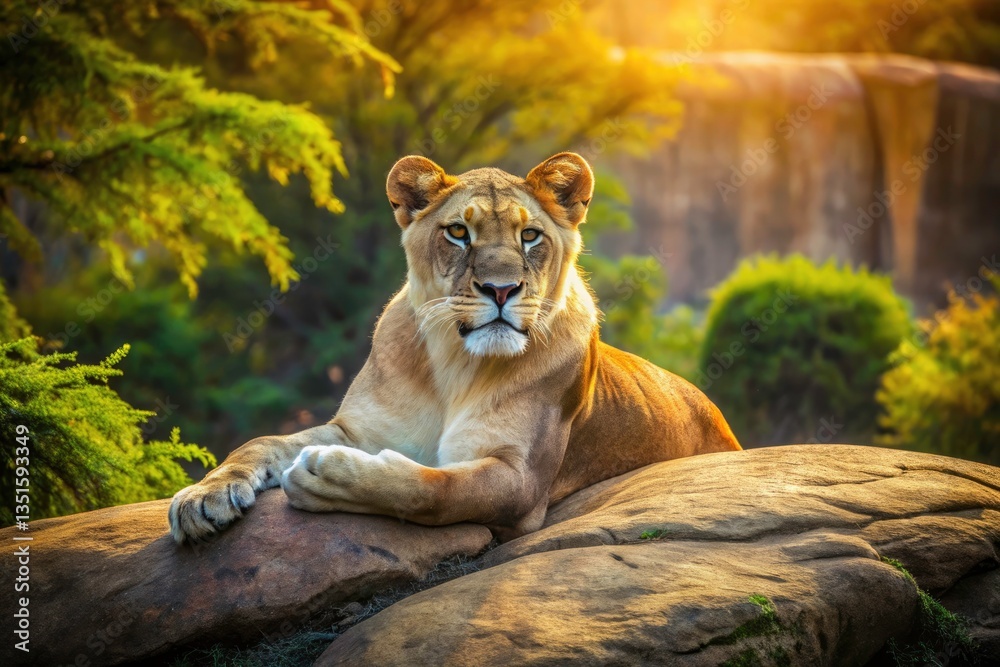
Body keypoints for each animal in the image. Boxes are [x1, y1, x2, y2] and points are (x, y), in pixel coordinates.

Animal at [168, 152, 741, 544]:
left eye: (530, 236)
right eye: (459, 232)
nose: (501, 289)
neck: (454, 364)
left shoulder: (521, 481)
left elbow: (433, 489)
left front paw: (328, 476)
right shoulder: (357, 430)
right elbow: (261, 442)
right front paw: (202, 497)